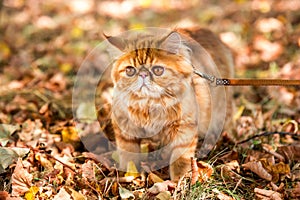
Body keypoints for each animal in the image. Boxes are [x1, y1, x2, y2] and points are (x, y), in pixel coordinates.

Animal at [103, 28, 234, 181]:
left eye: (157, 70)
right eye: (130, 71)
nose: (143, 75)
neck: (150, 105)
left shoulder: (185, 128)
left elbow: (180, 160)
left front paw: (178, 182)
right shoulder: (125, 128)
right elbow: (129, 156)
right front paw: (130, 175)